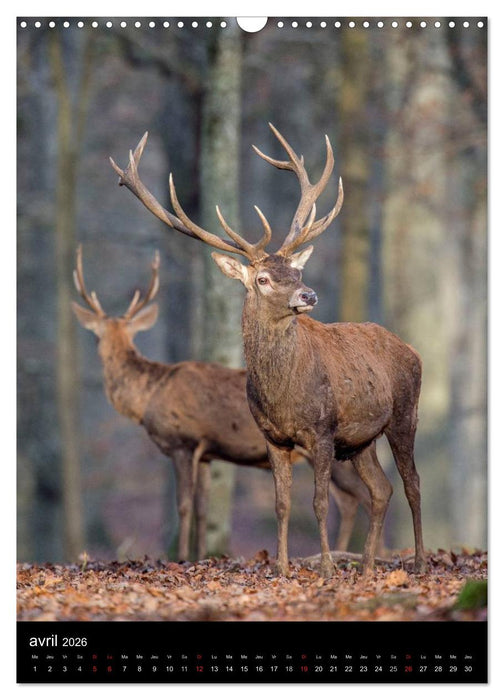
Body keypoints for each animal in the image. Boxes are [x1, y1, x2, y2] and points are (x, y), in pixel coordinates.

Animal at [72, 245, 374, 563]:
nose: (100, 350)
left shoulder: (183, 442)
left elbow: (183, 506)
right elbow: (203, 510)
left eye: (95, 336)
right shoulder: (206, 453)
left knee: (365, 497)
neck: (149, 397)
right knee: (350, 502)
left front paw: (181, 557)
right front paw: (201, 555)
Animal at [109, 125, 426, 578]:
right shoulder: (273, 437)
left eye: (296, 270)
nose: (308, 295)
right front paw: (282, 568)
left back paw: (417, 562)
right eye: (262, 278)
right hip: (361, 438)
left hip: (404, 414)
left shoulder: (322, 429)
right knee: (381, 490)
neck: (283, 396)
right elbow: (281, 504)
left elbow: (319, 503)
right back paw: (366, 567)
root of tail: (411, 349)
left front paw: (326, 568)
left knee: (412, 484)